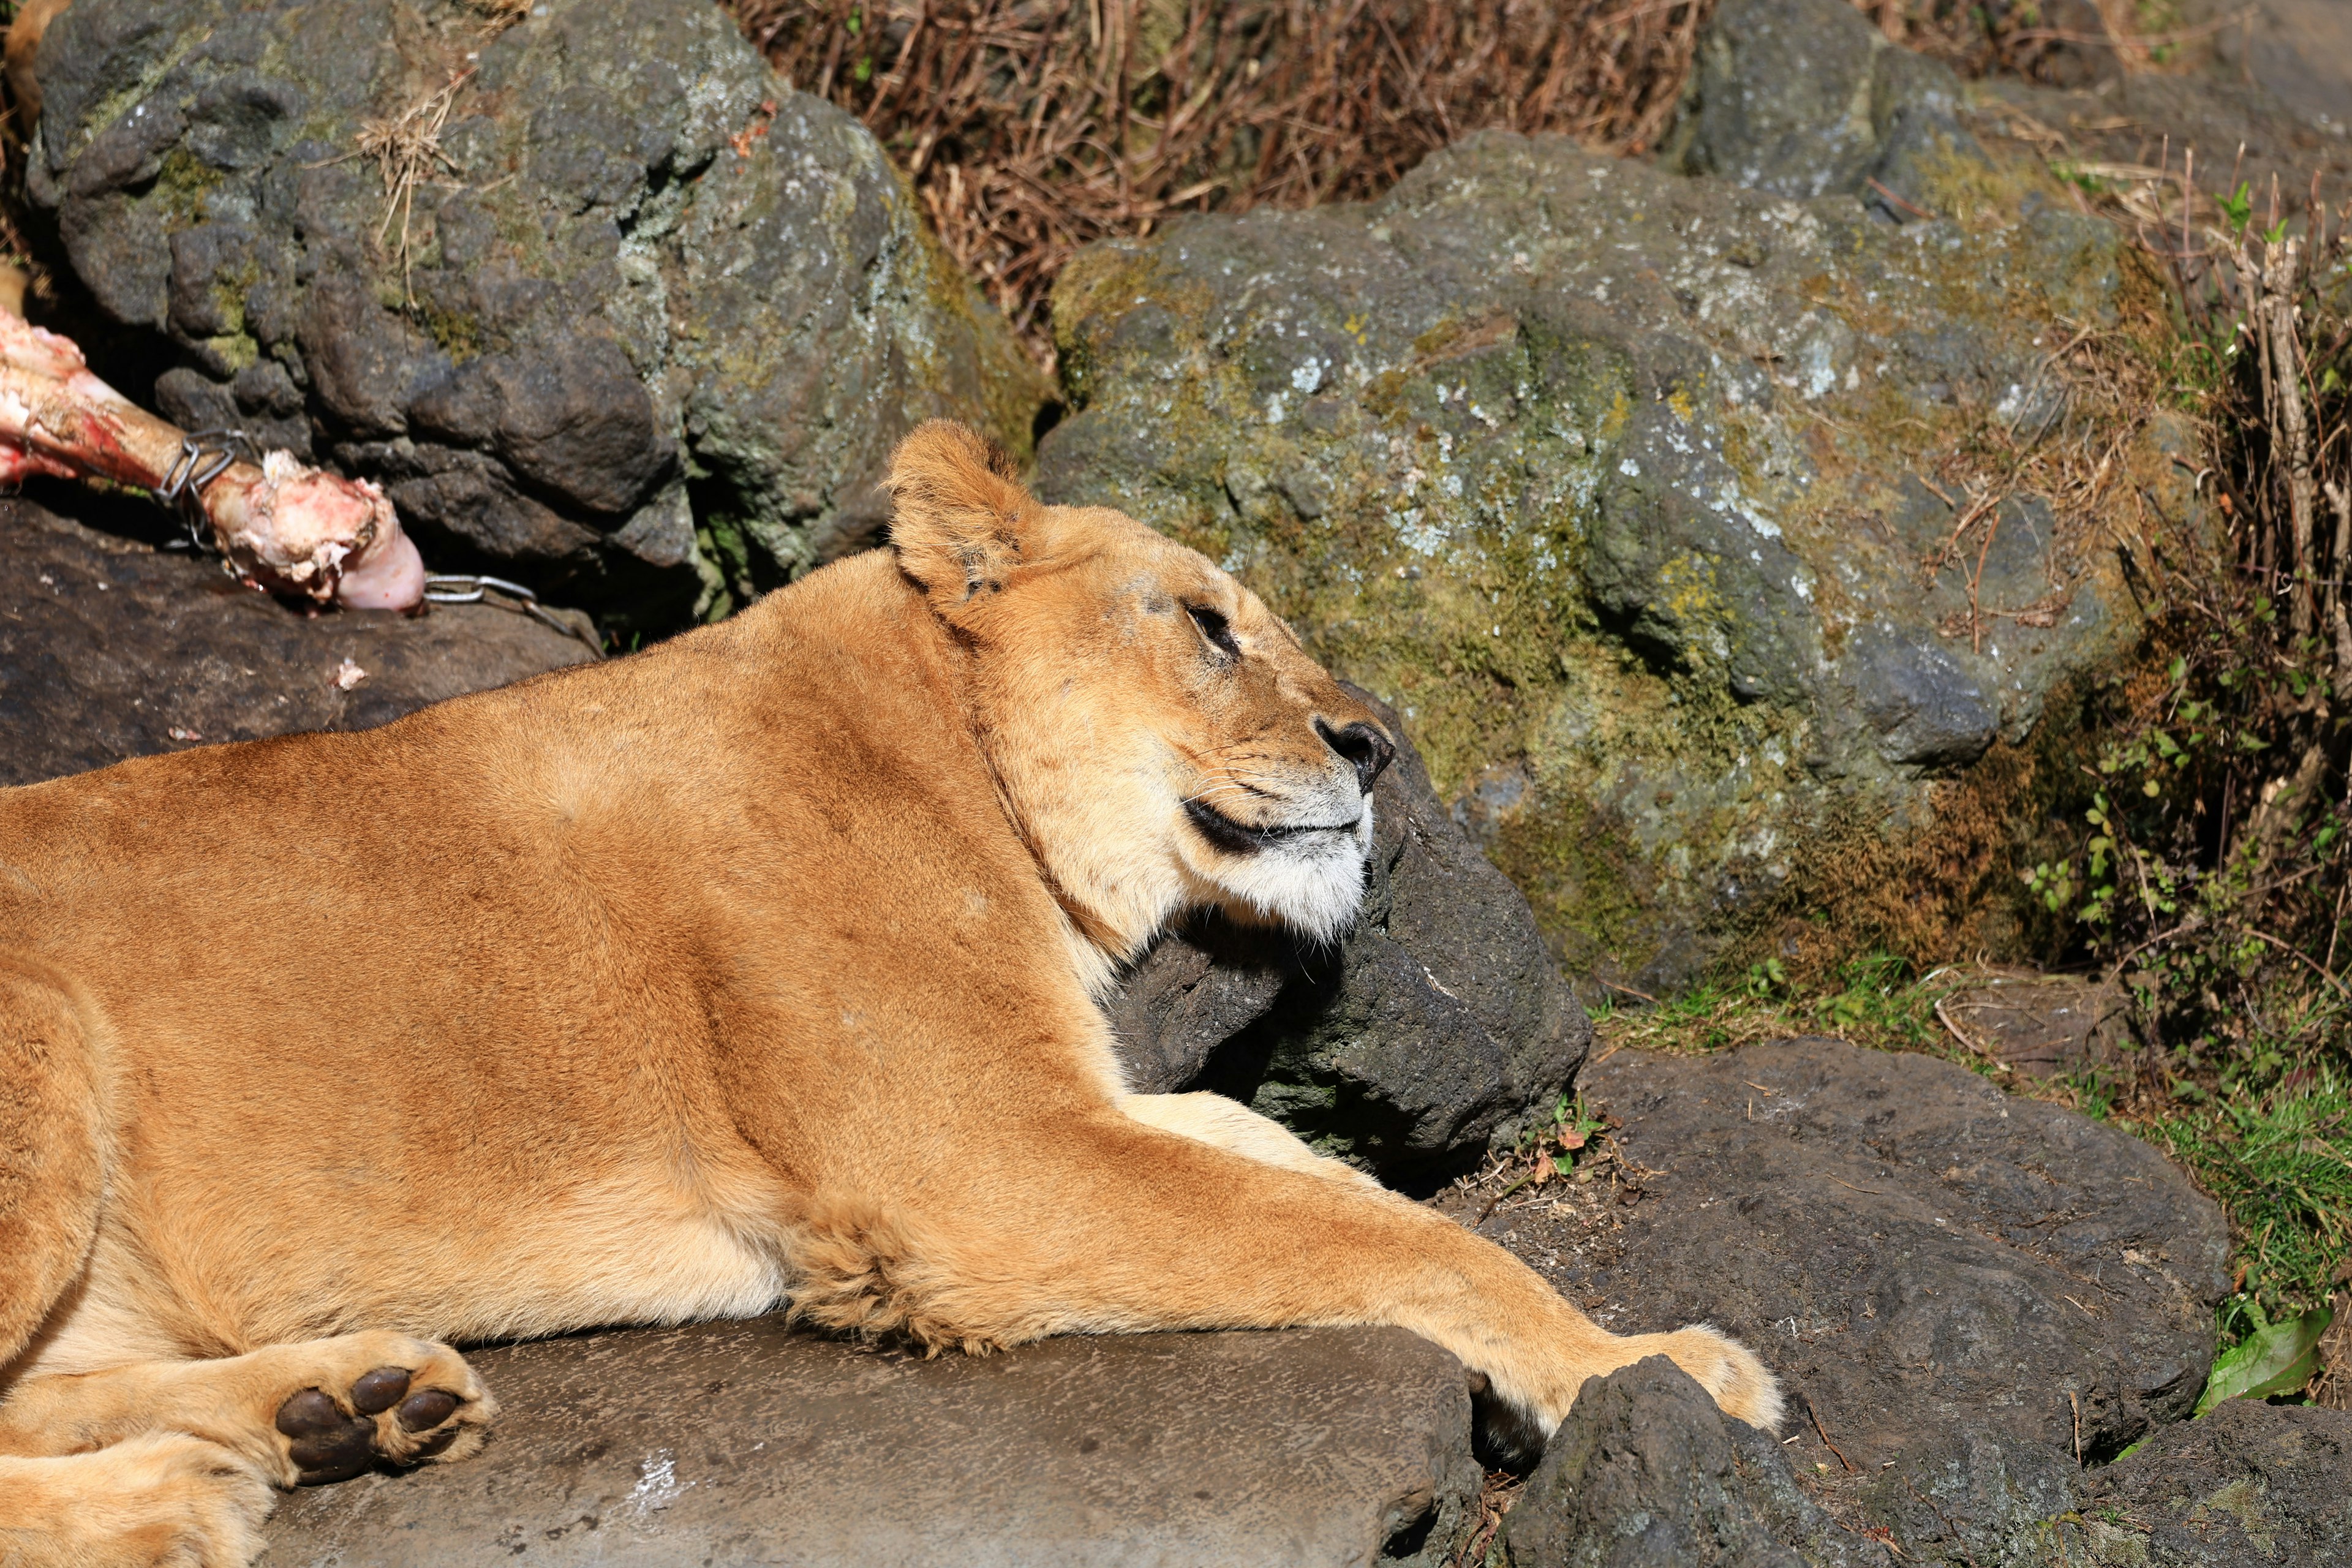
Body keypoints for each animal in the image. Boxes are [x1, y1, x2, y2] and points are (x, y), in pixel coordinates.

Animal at [0, 423, 1768, 1561]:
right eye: (1208, 623)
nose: (1377, 748)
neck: (969, 772)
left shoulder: (1067, 1104)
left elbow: (1312, 1172)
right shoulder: (971, 1171)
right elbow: (1393, 1235)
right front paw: (1650, 1367)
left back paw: (343, 1405)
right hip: (49, 1051)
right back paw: (186, 1495)